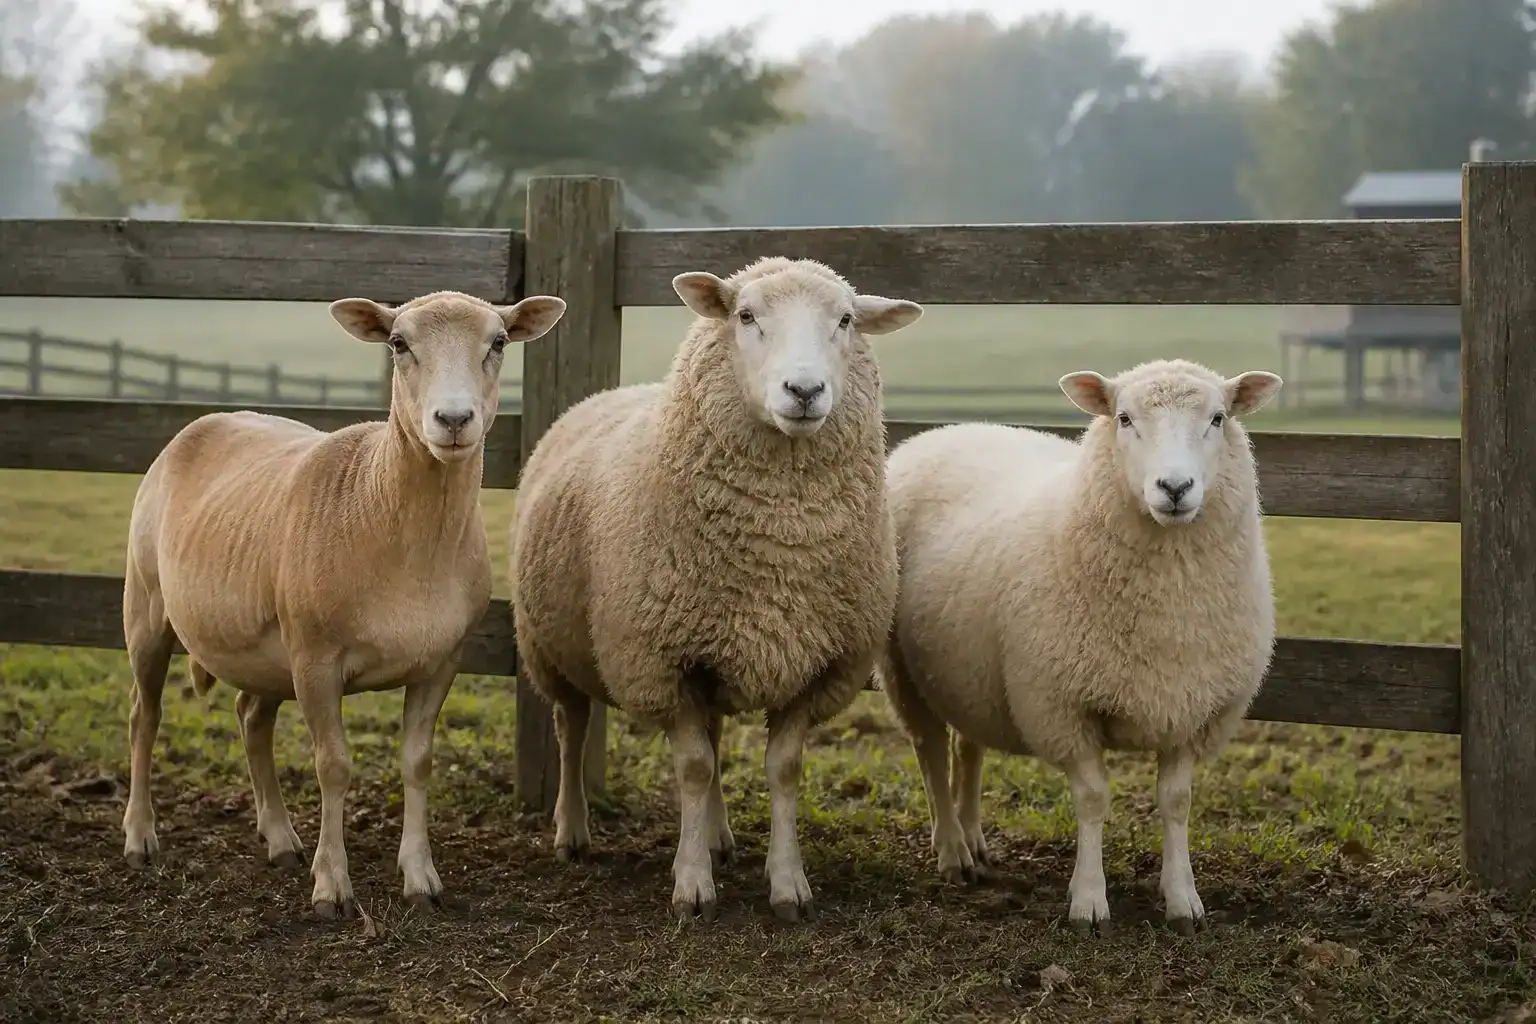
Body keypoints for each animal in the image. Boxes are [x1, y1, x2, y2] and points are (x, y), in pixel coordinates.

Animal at [119, 289, 567, 920]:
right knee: (145, 715)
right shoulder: (316, 658)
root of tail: (213, 418)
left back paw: (280, 838)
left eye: (499, 342)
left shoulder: (441, 661)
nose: (454, 421)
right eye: (398, 343)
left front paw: (420, 877)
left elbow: (418, 761)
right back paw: (140, 836)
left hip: (267, 648)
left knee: (250, 718)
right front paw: (331, 886)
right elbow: (333, 765)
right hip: (148, 607)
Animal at [509, 256, 923, 923]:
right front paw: (692, 884)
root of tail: (609, 394)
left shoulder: (817, 666)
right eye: (746, 315)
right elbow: (694, 767)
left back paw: (719, 834)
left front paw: (788, 884)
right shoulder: (661, 661)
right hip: (550, 647)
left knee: (715, 730)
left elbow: (782, 769)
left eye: (845, 320)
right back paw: (572, 830)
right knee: (571, 728)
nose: (804, 391)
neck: (781, 548)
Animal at [876, 358, 1282, 934]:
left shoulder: (1194, 709)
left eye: (1218, 418)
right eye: (1124, 418)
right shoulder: (1062, 707)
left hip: (969, 673)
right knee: (931, 752)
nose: (1175, 486)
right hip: (904, 671)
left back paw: (974, 841)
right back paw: (952, 851)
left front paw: (1183, 898)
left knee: (967, 748)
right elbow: (1092, 800)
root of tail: (945, 431)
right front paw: (1089, 901)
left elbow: (1176, 802)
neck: (1168, 610)